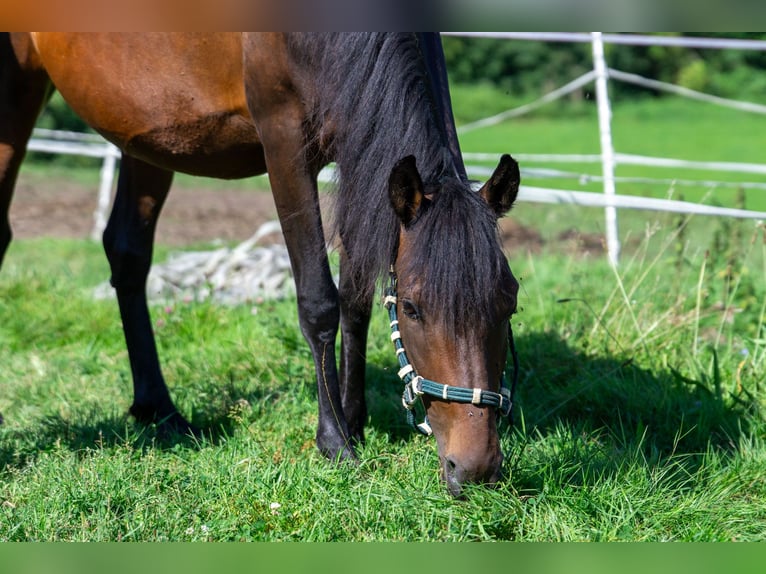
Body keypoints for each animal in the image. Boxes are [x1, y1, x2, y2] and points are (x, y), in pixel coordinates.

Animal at [1, 32, 520, 500]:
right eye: (413, 308)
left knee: (127, 251)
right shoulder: (284, 142)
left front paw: (355, 422)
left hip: (143, 134)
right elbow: (320, 301)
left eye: (509, 304)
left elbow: (356, 301)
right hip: (18, 95)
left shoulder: (359, 143)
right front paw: (335, 442)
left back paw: (159, 409)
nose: (475, 469)